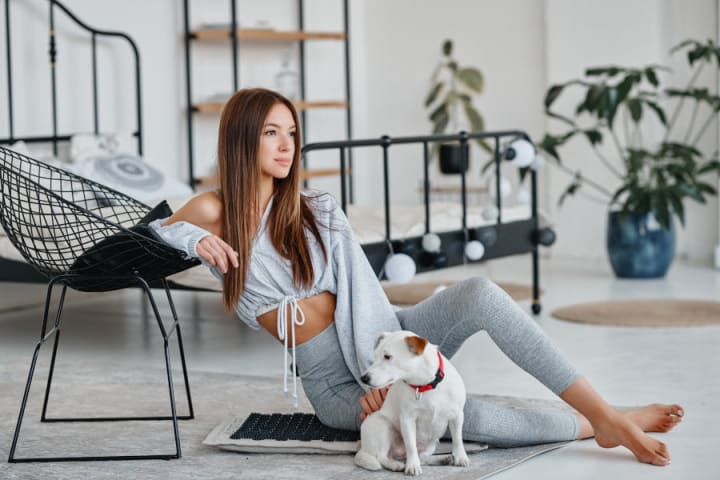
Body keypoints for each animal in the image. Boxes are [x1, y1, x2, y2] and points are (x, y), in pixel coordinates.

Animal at [352, 332, 466, 474]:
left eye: (387, 356)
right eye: (375, 357)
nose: (363, 378)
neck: (425, 386)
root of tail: (362, 448)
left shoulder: (457, 416)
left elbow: (457, 440)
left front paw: (461, 457)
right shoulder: (407, 419)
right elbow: (411, 446)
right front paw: (412, 466)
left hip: (432, 442)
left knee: (421, 457)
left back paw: (442, 459)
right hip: (382, 424)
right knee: (381, 457)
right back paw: (396, 465)